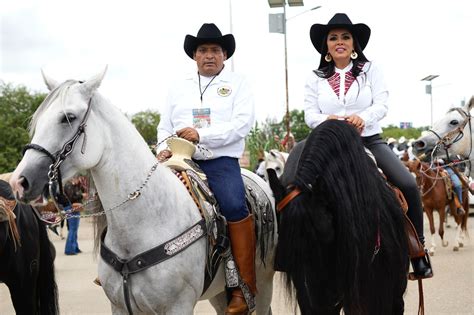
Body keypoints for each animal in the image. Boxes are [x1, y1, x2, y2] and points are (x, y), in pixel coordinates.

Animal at [8, 69, 278, 315]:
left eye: (68, 118)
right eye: (38, 120)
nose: (19, 181)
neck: (144, 222)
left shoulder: (178, 307)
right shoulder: (120, 306)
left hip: (263, 285)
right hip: (219, 293)